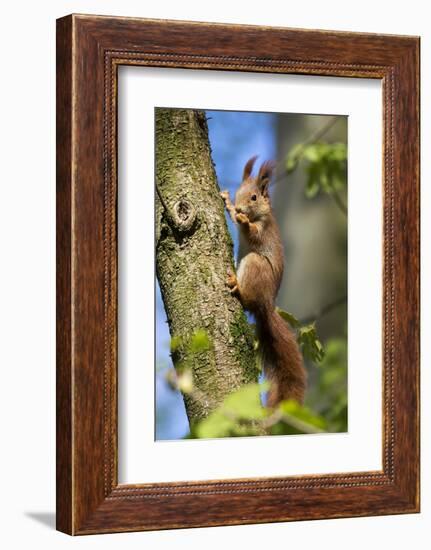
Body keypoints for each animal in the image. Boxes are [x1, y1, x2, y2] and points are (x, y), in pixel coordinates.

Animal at [223, 157, 308, 408]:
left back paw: (236, 284)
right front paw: (227, 203)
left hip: (254, 265)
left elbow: (252, 232)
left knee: (246, 297)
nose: (240, 208)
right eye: (239, 193)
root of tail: (266, 304)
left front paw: (241, 219)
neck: (259, 215)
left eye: (254, 197)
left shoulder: (264, 229)